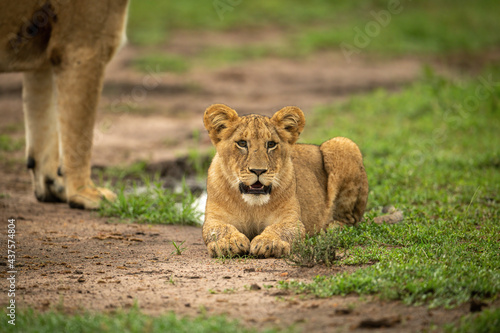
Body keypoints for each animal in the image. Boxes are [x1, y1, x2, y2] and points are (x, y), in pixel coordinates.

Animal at [0, 0, 129, 208]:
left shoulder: (45, 59)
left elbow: (43, 127)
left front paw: (54, 186)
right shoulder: (83, 47)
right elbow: (80, 132)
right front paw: (84, 193)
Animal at [201, 104, 400, 256]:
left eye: (271, 144)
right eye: (242, 143)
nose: (258, 170)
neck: (252, 206)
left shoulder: (292, 220)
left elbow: (281, 229)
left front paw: (268, 242)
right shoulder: (213, 218)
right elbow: (218, 229)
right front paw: (229, 242)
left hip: (343, 144)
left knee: (351, 220)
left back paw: (327, 230)